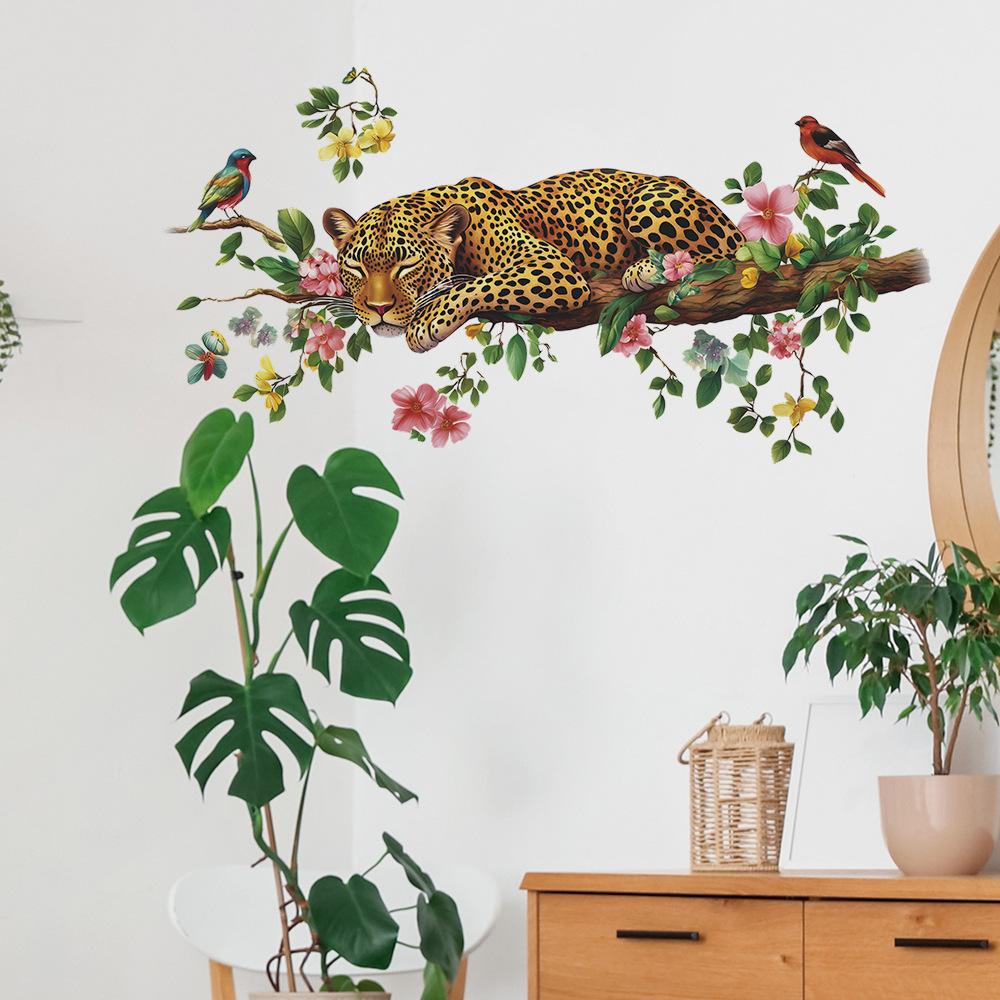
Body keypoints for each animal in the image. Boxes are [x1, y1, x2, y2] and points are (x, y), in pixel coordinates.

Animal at [322, 168, 743, 353]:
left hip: (648, 200)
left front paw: (428, 323)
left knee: (718, 256)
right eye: (356, 268)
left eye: (407, 265)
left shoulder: (553, 267)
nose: (378, 309)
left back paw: (645, 269)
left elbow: (481, 284)